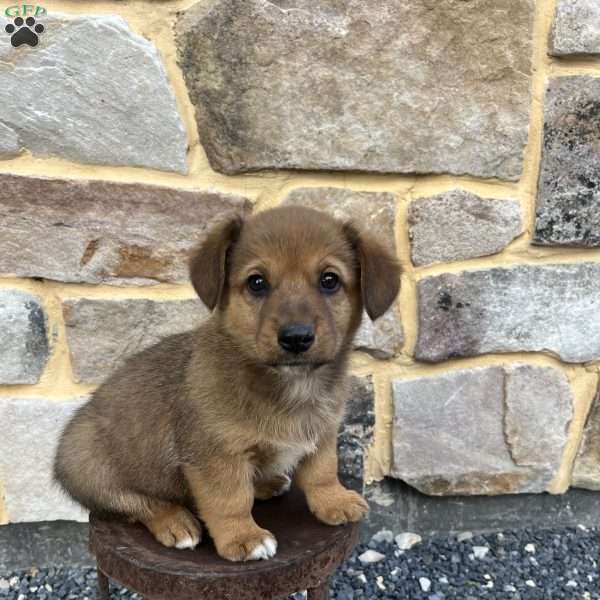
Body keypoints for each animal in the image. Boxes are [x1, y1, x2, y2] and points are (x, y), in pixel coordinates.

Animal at [54, 206, 400, 564]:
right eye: (257, 283)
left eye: (329, 280)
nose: (296, 338)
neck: (290, 385)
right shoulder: (216, 456)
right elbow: (230, 500)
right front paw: (243, 537)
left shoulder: (322, 434)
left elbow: (323, 472)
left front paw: (334, 501)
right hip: (93, 471)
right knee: (139, 504)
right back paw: (176, 523)